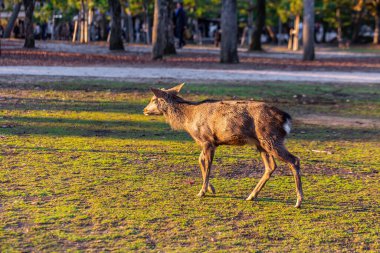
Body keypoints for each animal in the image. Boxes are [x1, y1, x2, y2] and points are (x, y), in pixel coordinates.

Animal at [142, 83, 302, 208]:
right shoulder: (210, 143)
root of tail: (286, 118)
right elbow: (200, 161)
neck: (188, 120)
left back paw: (298, 201)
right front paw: (211, 189)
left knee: (294, 160)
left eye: (153, 99)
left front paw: (202, 192)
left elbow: (208, 165)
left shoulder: (207, 140)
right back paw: (251, 196)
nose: (144, 110)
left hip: (271, 139)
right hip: (261, 143)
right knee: (271, 166)